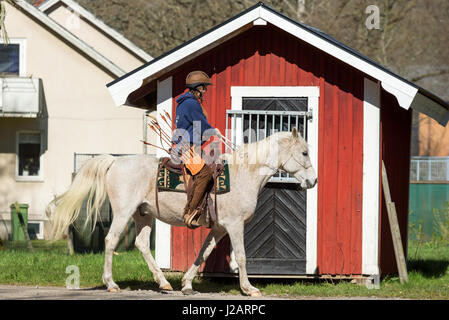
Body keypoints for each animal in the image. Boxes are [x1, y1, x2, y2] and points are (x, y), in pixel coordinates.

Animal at [48, 126, 316, 296]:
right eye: (304, 152)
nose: (313, 181)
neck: (244, 174)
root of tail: (116, 161)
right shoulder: (235, 225)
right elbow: (241, 256)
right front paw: (249, 289)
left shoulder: (219, 228)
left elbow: (203, 252)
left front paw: (187, 283)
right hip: (124, 213)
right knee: (111, 240)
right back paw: (111, 283)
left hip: (143, 214)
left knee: (141, 244)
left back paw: (164, 282)